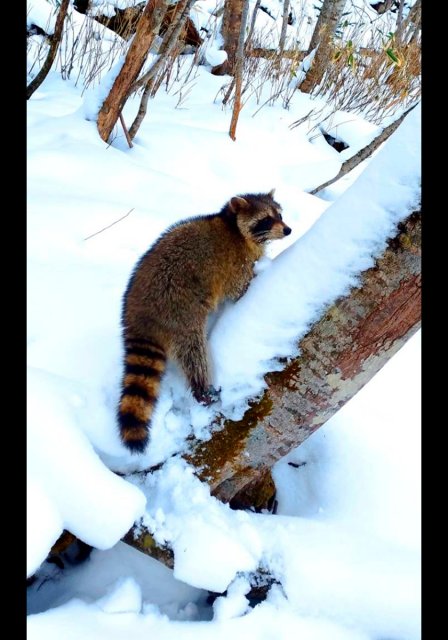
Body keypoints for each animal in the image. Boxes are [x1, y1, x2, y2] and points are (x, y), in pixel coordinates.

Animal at [118, 189, 291, 452]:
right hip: (179, 312)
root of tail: (138, 314)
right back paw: (201, 390)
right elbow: (241, 289)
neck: (233, 226)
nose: (288, 230)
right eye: (266, 220)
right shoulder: (236, 264)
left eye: (279, 215)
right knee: (194, 354)